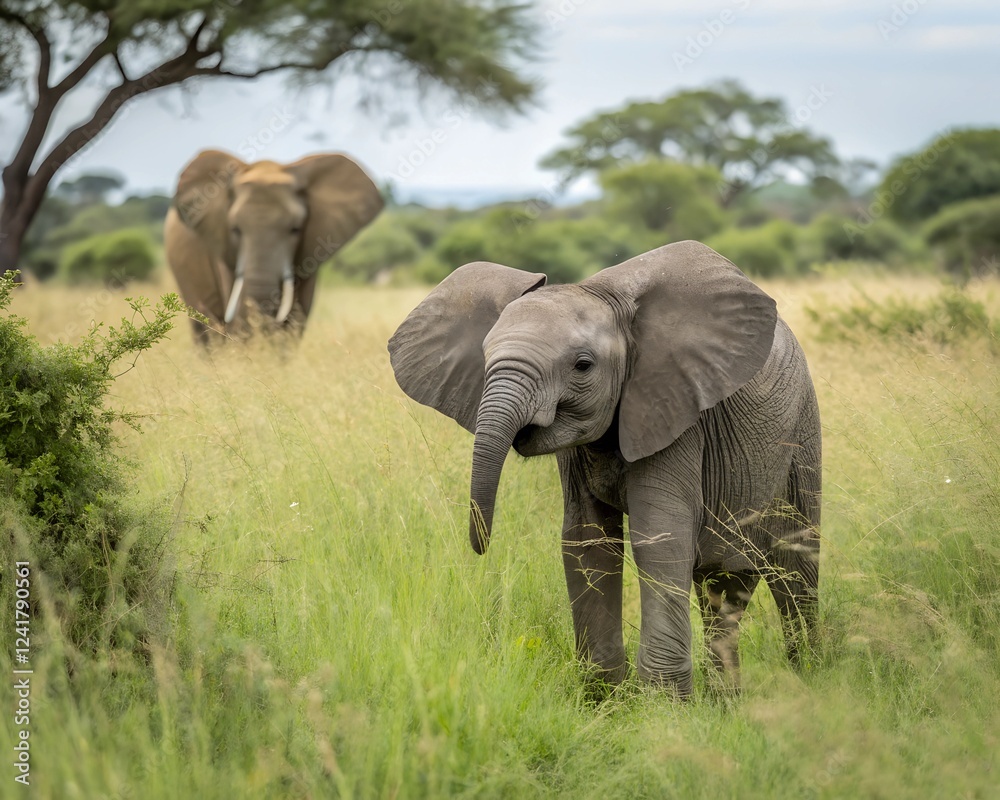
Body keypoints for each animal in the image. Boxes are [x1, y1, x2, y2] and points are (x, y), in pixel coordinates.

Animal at [388, 241, 821, 696]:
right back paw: (728, 701)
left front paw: (662, 703)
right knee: (723, 586)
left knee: (795, 571)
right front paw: (604, 698)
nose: (481, 545)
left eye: (583, 365)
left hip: (801, 435)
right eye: (484, 357)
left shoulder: (674, 412)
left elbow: (659, 538)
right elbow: (586, 542)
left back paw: (811, 675)